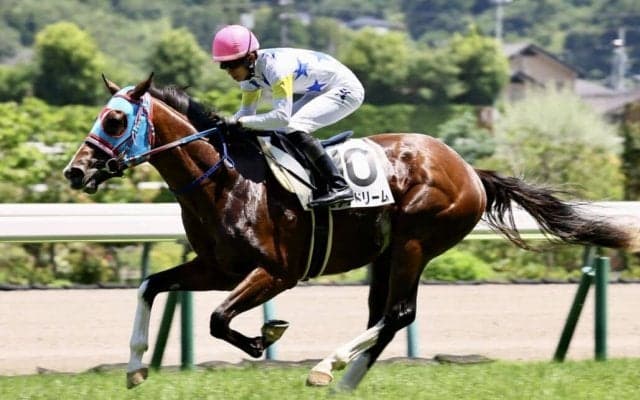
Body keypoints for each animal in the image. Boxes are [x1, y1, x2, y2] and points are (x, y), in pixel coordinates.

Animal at [63, 74, 640, 391]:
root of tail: (471, 170)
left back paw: (327, 368)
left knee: (397, 313)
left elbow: (218, 319)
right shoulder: (216, 267)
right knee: (384, 317)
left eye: (114, 121)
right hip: (385, 254)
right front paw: (135, 368)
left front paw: (265, 336)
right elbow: (151, 287)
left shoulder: (277, 272)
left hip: (414, 243)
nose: (74, 171)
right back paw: (344, 381)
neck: (225, 178)